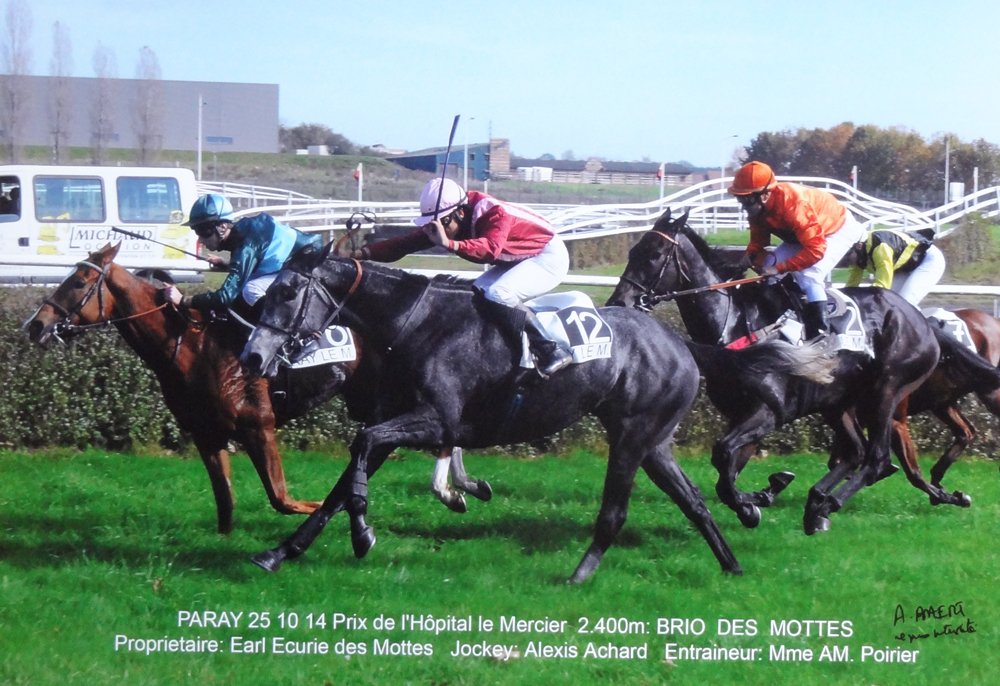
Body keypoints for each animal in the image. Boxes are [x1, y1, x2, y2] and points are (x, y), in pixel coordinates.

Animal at [22, 243, 491, 534]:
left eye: (79, 283)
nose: (36, 325)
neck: (190, 345)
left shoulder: (257, 425)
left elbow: (282, 498)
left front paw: (323, 512)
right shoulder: (207, 434)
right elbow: (225, 506)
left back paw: (454, 487)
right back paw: (461, 486)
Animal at [238, 247, 815, 582]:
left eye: (287, 290)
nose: (252, 357)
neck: (414, 323)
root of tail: (680, 342)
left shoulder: (437, 421)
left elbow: (360, 449)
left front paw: (363, 533)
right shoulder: (400, 422)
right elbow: (342, 484)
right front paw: (280, 551)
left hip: (632, 437)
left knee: (616, 511)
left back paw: (580, 575)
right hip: (654, 442)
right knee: (693, 502)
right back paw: (732, 561)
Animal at [606, 209, 954, 534]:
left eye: (654, 254)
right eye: (632, 251)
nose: (619, 301)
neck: (736, 324)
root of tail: (921, 321)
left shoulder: (769, 411)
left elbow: (722, 455)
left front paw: (755, 501)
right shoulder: (739, 414)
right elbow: (725, 474)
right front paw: (760, 496)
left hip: (886, 390)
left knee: (877, 458)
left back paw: (828, 504)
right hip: (836, 403)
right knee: (855, 452)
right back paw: (816, 504)